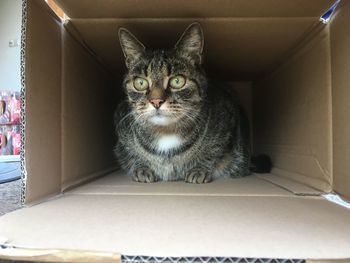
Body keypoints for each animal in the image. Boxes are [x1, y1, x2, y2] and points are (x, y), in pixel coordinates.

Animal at [115, 22, 270, 184]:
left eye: (177, 81)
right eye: (140, 82)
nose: (156, 101)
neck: (166, 133)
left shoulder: (229, 120)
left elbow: (214, 150)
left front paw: (198, 169)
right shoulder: (121, 127)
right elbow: (132, 154)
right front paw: (142, 168)